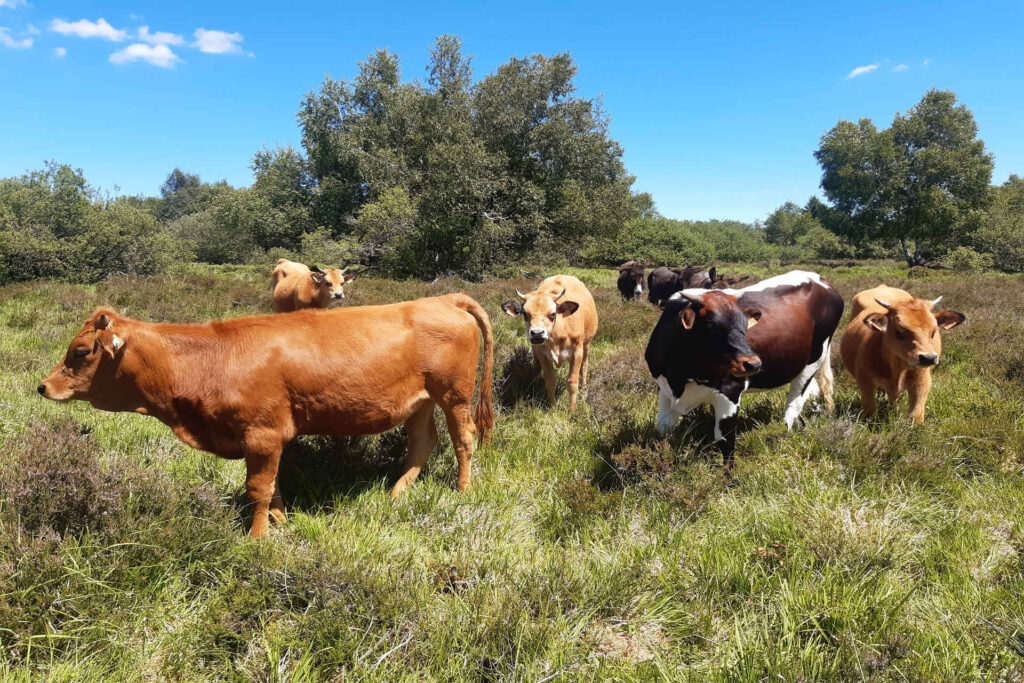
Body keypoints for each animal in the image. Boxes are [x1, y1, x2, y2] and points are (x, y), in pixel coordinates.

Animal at [41, 294, 497, 540]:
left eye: (80, 352)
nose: (43, 386)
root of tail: (444, 299)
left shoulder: (262, 433)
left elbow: (257, 488)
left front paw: (257, 537)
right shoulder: (265, 439)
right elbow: (272, 484)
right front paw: (281, 520)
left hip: (454, 395)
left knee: (464, 439)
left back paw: (463, 490)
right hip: (418, 401)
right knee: (422, 443)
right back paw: (396, 493)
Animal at [499, 272, 598, 411]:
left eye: (552, 314)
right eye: (525, 314)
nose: (537, 333)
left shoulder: (577, 353)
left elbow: (572, 382)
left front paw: (573, 410)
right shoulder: (543, 355)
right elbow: (550, 381)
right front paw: (551, 407)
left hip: (586, 345)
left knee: (584, 365)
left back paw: (584, 389)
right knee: (536, 365)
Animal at [643, 270, 843, 462]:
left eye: (745, 326)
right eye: (712, 326)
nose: (754, 363)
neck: (679, 376)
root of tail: (821, 280)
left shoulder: (730, 392)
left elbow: (725, 442)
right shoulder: (664, 389)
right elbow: (663, 431)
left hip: (813, 361)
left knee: (794, 404)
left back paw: (783, 435)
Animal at [835, 282, 962, 421]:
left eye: (934, 332)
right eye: (899, 332)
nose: (928, 358)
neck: (898, 368)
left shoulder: (922, 380)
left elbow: (916, 415)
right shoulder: (865, 383)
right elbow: (870, 413)